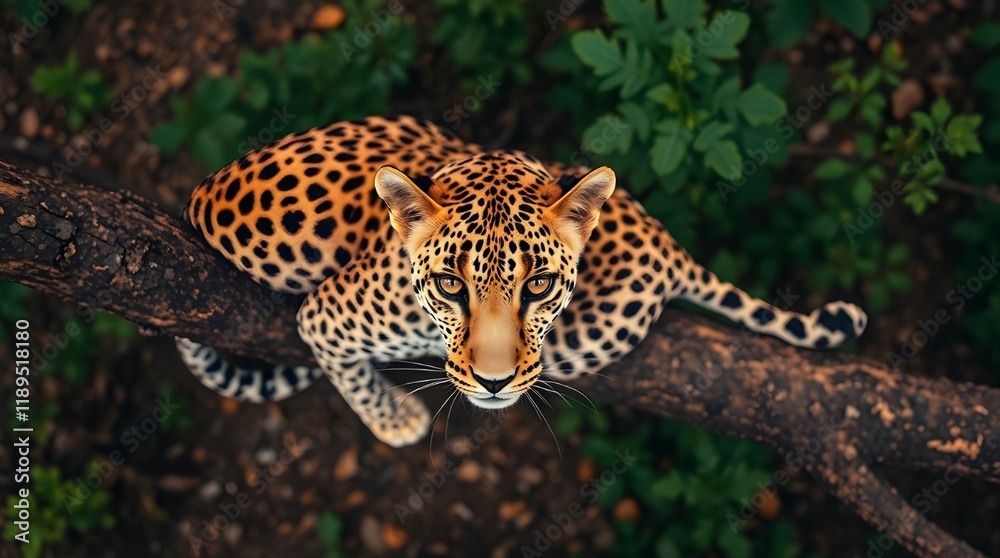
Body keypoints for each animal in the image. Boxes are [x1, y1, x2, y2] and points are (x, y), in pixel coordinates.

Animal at [176, 115, 867, 447]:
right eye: (449, 285)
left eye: (538, 286)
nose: (493, 382)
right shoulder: (325, 316)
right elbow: (344, 365)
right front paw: (396, 421)